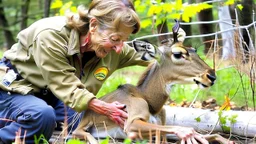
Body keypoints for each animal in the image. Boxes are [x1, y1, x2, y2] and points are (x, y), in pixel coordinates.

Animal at [71, 20, 234, 144]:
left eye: (193, 50)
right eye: (178, 54)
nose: (211, 76)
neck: (151, 103)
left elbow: (212, 134)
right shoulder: (131, 122)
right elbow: (186, 129)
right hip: (81, 130)